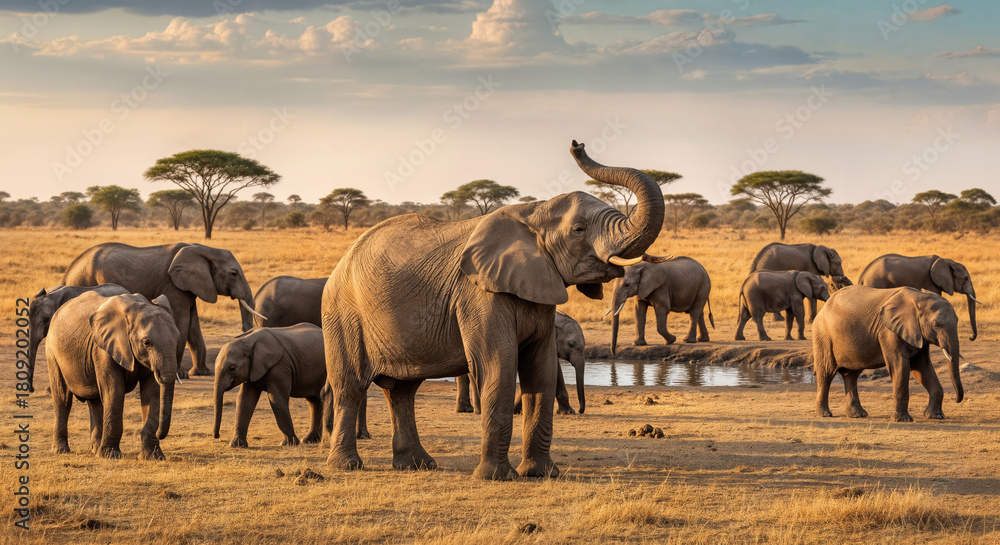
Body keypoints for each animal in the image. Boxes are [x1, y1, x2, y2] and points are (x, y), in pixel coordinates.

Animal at [45, 291, 179, 460]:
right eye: (146, 342)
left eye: (178, 338)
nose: (161, 434)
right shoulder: (103, 349)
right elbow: (114, 391)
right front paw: (110, 455)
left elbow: (151, 393)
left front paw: (154, 457)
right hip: (53, 352)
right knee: (63, 399)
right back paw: (61, 450)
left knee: (95, 400)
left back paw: (96, 450)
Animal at [62, 243, 264, 378]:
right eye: (233, 274)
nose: (245, 331)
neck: (203, 249)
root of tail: (70, 269)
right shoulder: (173, 285)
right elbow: (181, 322)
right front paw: (182, 375)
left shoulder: (189, 286)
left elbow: (193, 325)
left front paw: (202, 373)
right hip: (84, 281)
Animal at [813, 286, 963, 422]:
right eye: (936, 325)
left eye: (957, 321)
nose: (957, 400)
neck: (920, 297)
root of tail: (823, 307)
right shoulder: (888, 331)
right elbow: (900, 365)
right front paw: (902, 420)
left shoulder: (918, 334)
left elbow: (922, 367)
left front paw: (935, 416)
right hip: (823, 336)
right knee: (826, 373)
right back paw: (825, 414)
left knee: (851, 375)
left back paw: (858, 415)